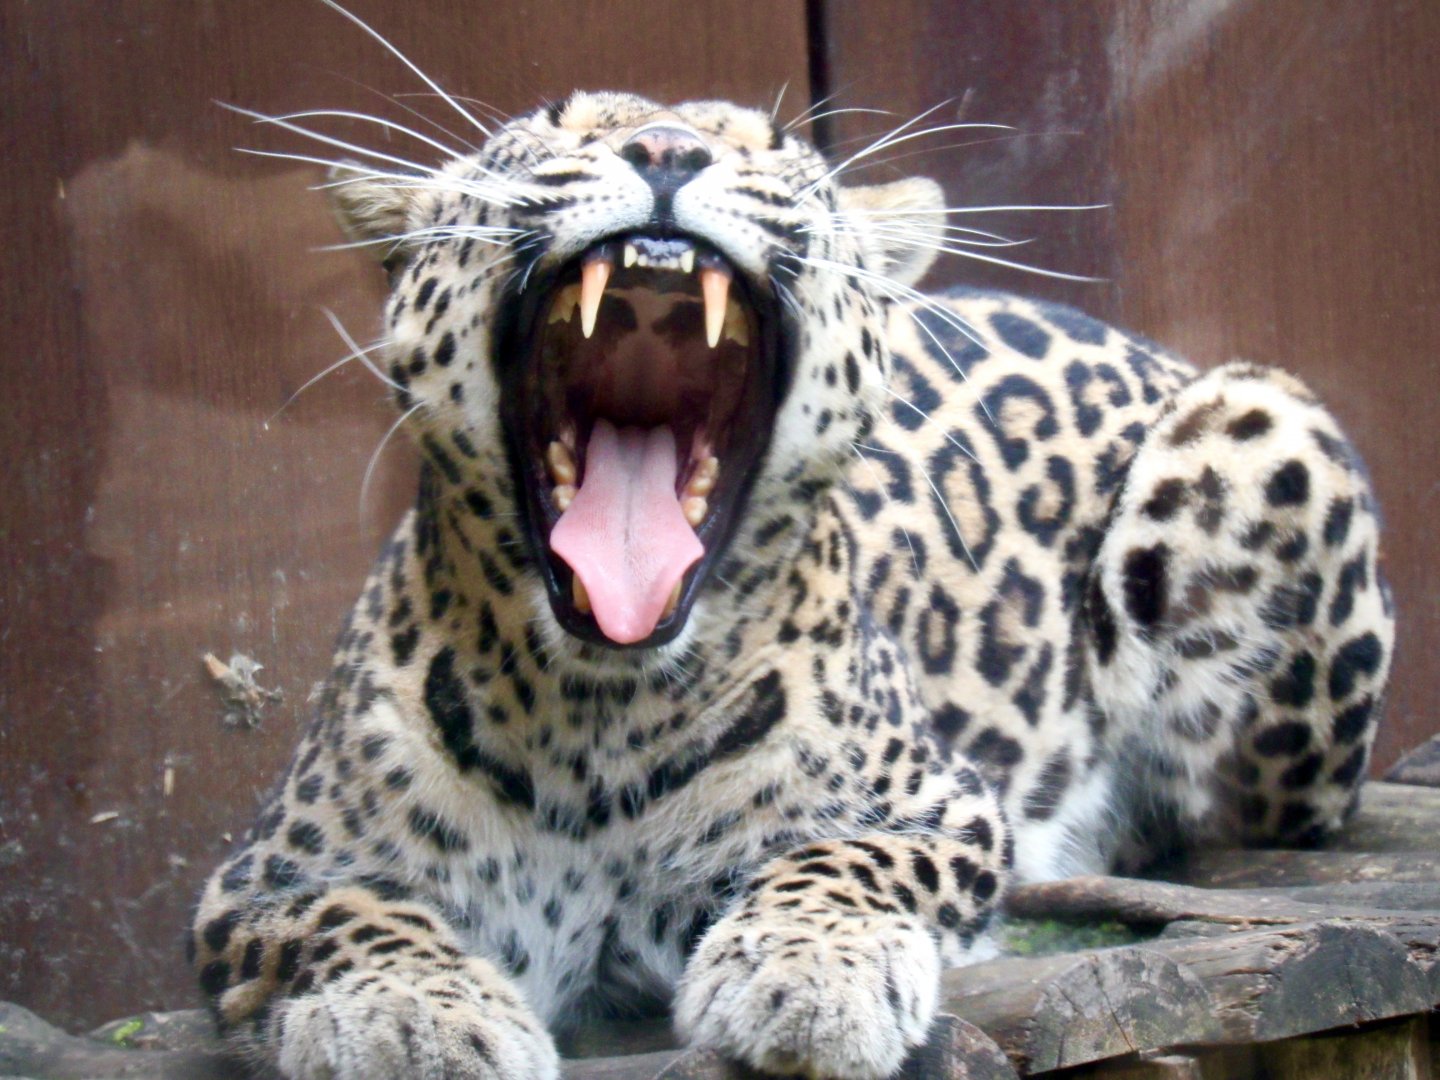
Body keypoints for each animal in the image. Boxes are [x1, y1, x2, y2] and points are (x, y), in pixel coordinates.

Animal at [189, 81, 1394, 1080]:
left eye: (766, 146)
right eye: (558, 126)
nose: (664, 149)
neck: (595, 716)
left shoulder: (946, 806)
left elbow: (844, 855)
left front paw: (807, 975)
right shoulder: (259, 877)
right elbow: (350, 918)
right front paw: (412, 1016)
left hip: (1259, 418)